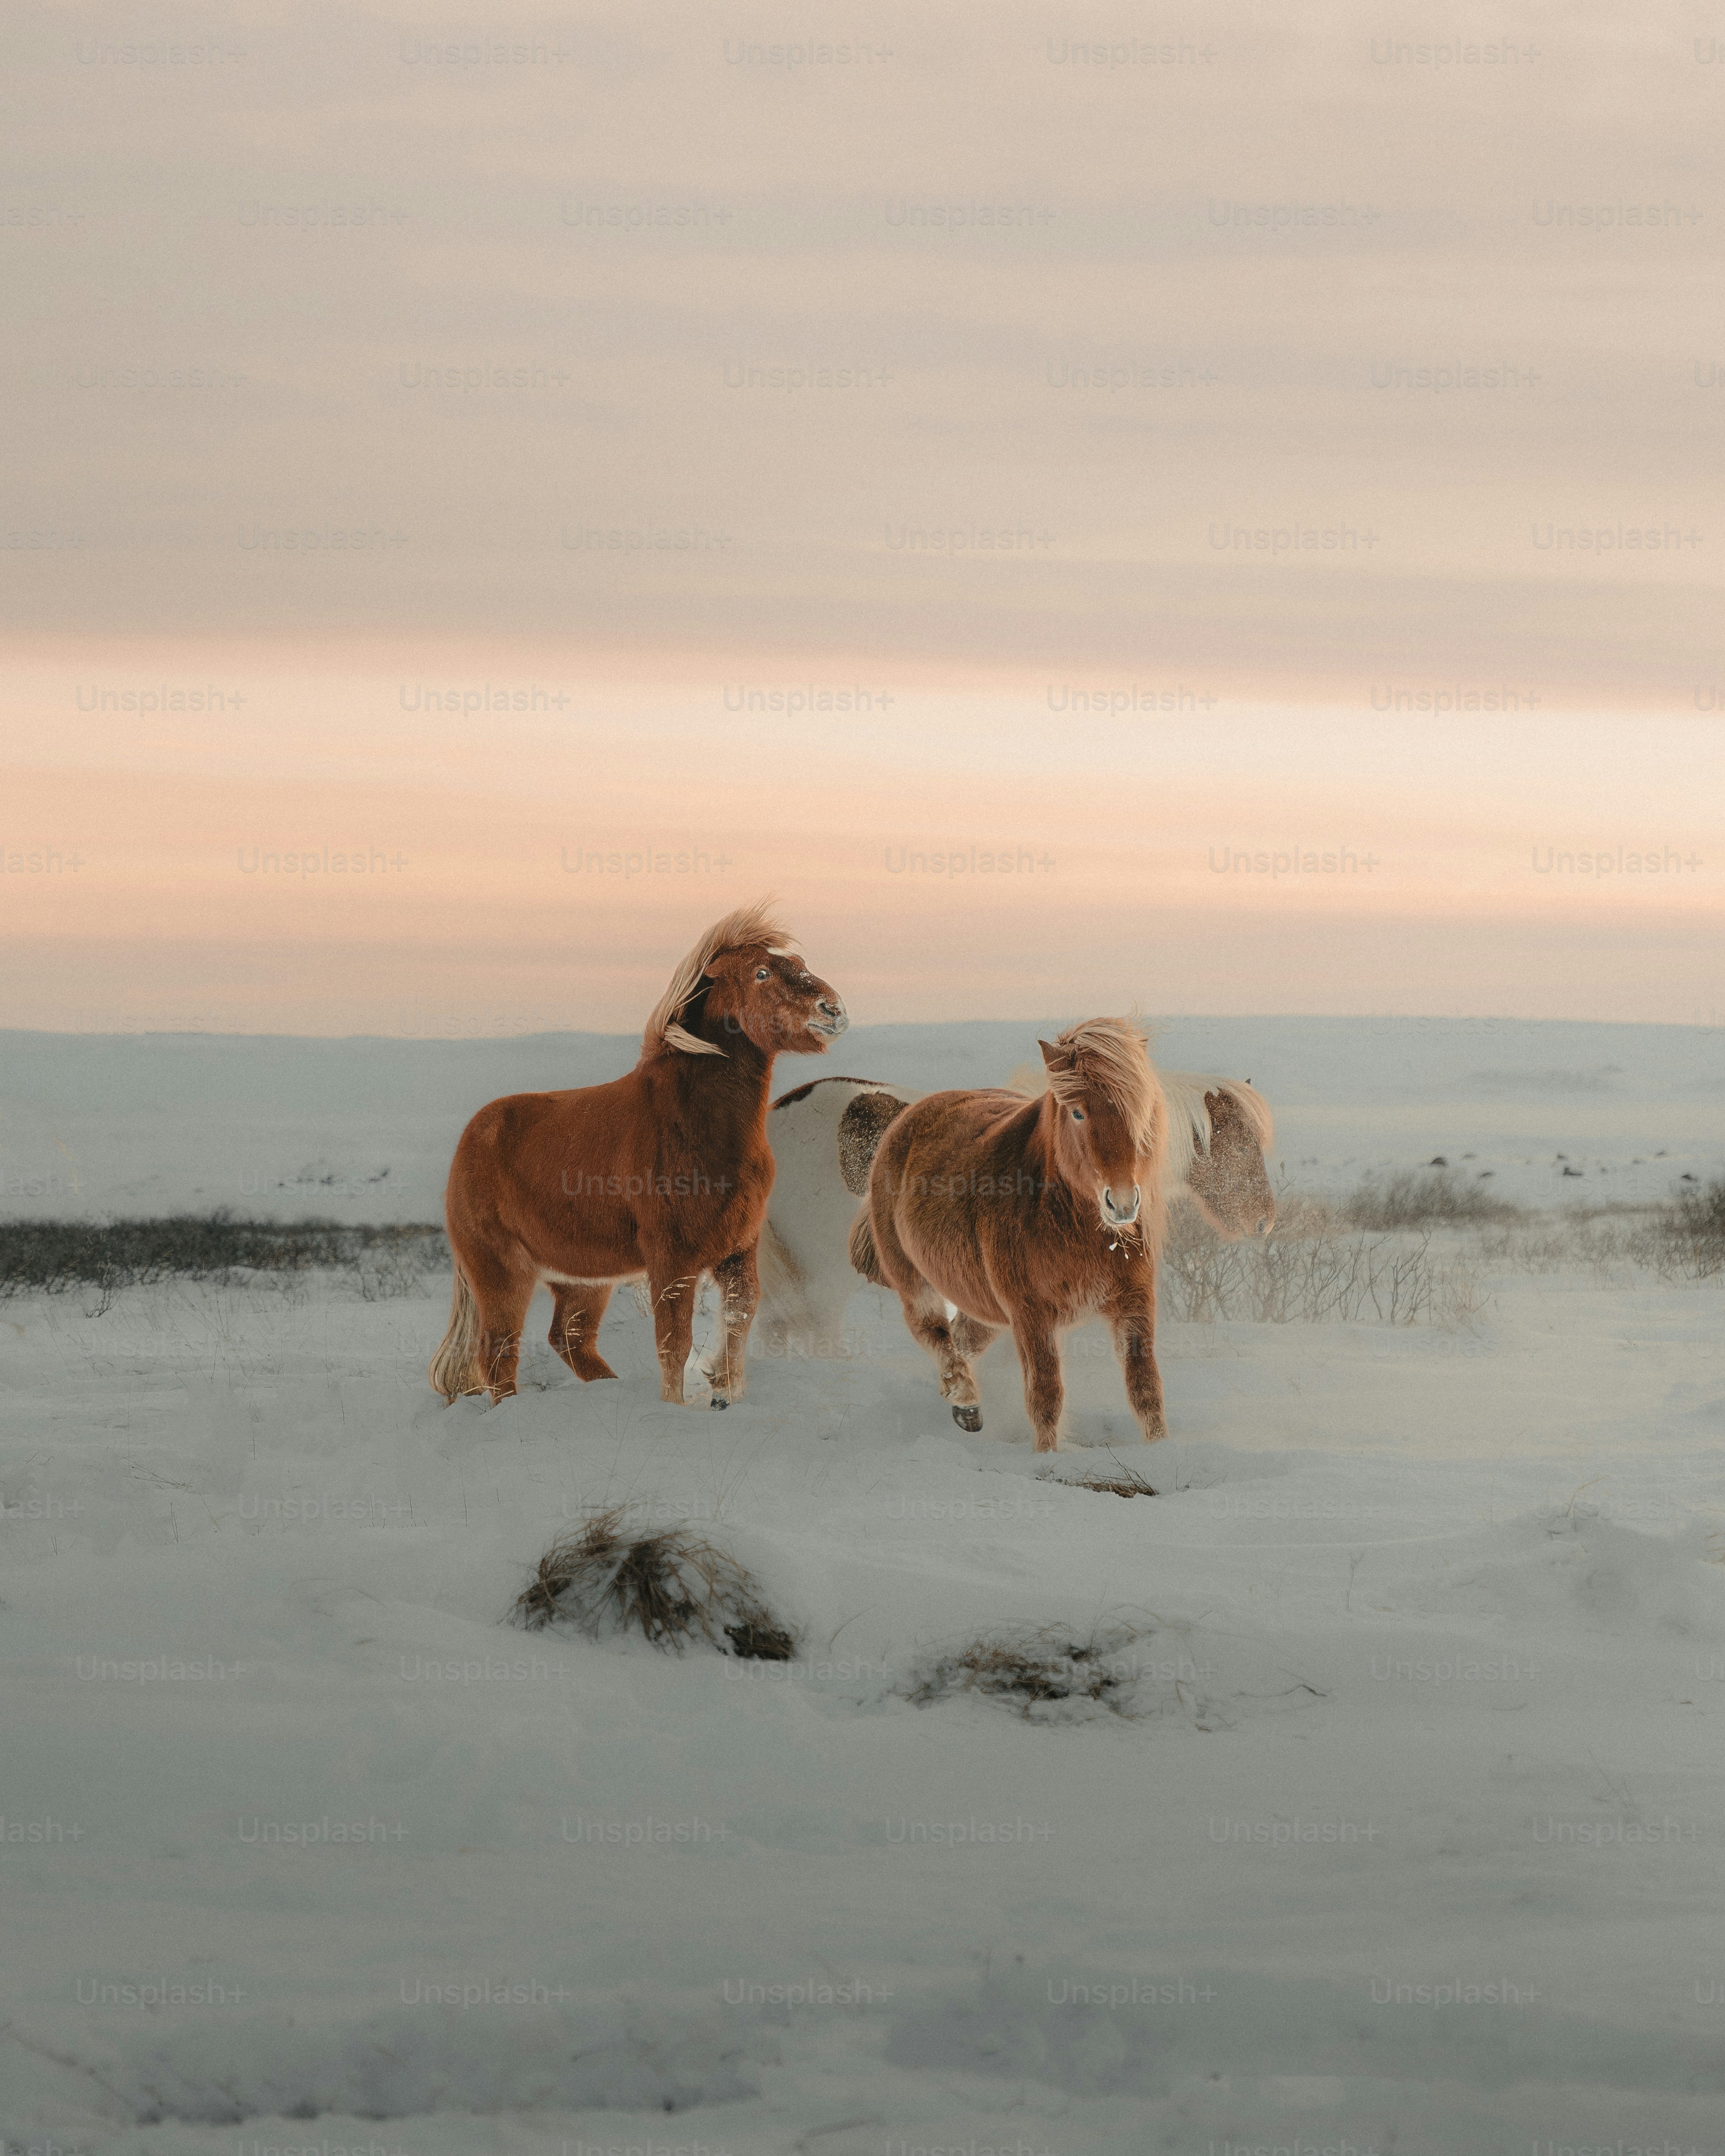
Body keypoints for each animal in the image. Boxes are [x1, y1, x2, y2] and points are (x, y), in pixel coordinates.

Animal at [430, 903, 848, 1409]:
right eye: (761, 972)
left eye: (798, 964)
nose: (833, 1010)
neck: (697, 1124)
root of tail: (473, 1136)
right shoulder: (671, 1257)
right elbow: (674, 1341)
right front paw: (675, 1406)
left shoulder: (737, 1250)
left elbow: (739, 1321)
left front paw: (726, 1395)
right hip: (502, 1272)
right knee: (498, 1353)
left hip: (582, 1279)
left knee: (569, 1339)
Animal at [851, 1017, 1171, 1453]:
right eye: (1078, 1112)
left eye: (1138, 1109)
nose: (1122, 1203)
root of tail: (909, 1118)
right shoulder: (1030, 1314)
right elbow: (1046, 1396)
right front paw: (1047, 1457)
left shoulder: (1135, 1300)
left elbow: (1145, 1390)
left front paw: (1162, 1449)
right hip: (915, 1280)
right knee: (933, 1332)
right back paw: (965, 1398)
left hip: (985, 1305)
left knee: (963, 1336)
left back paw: (960, 1404)